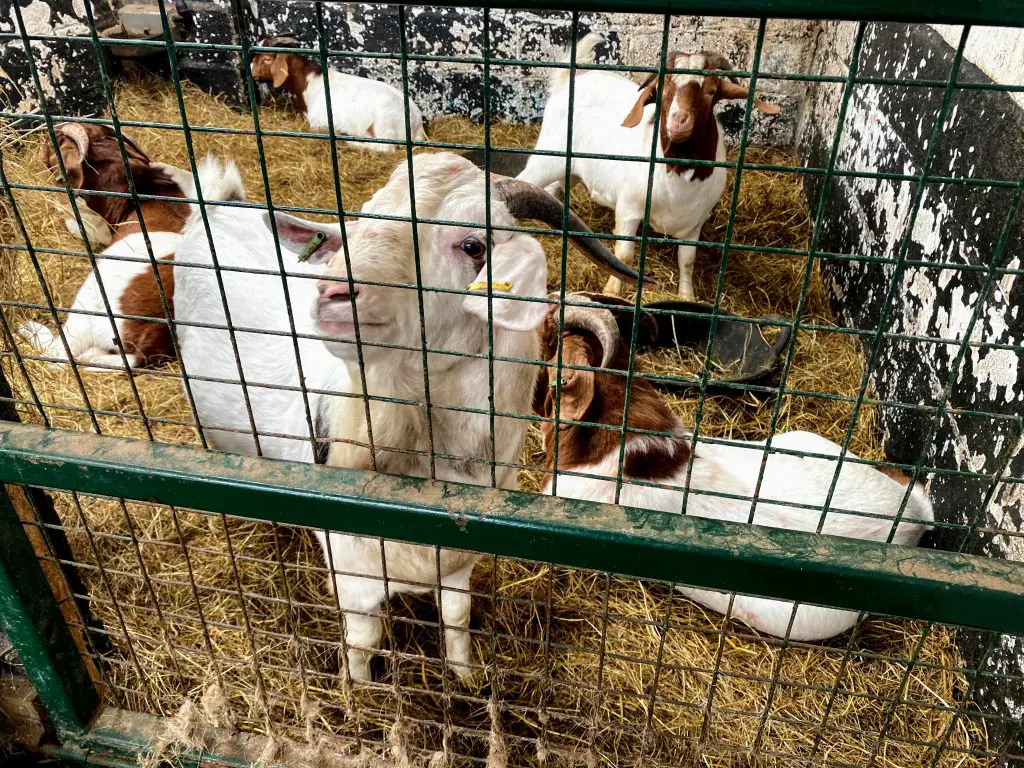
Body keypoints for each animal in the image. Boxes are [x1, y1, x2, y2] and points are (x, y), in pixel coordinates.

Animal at [251, 37, 428, 153]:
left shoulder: (318, 124)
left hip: (383, 124)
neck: (310, 83)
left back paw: (348, 141)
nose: (251, 71)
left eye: (267, 58)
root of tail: (417, 123)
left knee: (385, 148)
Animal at [516, 35, 778, 301]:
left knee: (553, 188)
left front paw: (686, 296)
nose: (678, 120)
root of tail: (568, 81)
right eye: (662, 91)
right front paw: (612, 292)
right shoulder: (629, 209)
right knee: (526, 179)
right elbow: (623, 257)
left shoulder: (694, 224)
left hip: (569, 166)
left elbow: (687, 261)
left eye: (711, 91)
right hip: (548, 155)